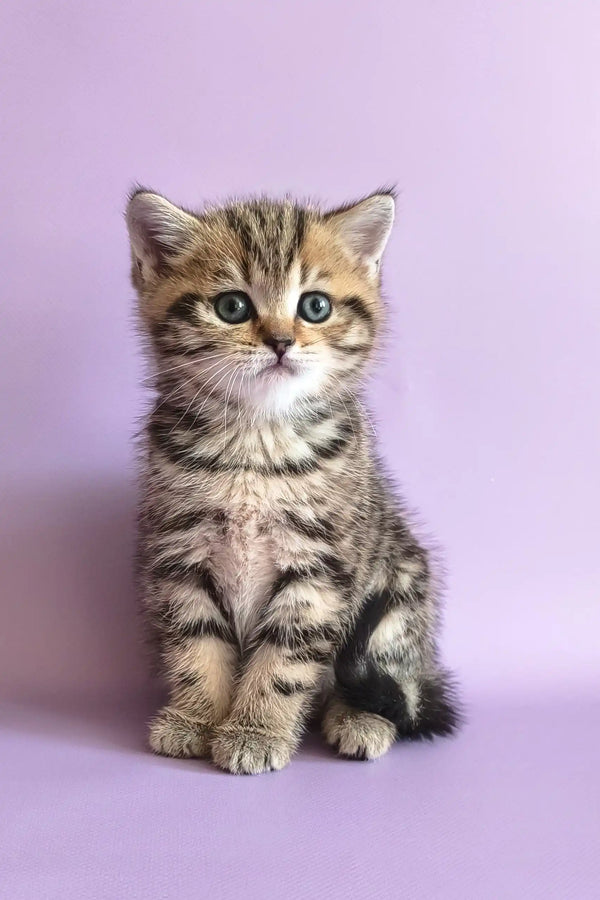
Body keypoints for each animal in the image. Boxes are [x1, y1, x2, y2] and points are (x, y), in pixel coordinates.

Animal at [126, 188, 460, 772]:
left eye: (315, 306)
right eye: (232, 307)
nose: (281, 341)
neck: (256, 442)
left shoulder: (320, 567)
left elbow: (285, 658)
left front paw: (256, 730)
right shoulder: (179, 555)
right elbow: (196, 644)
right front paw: (196, 718)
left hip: (401, 589)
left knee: (388, 683)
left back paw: (358, 718)